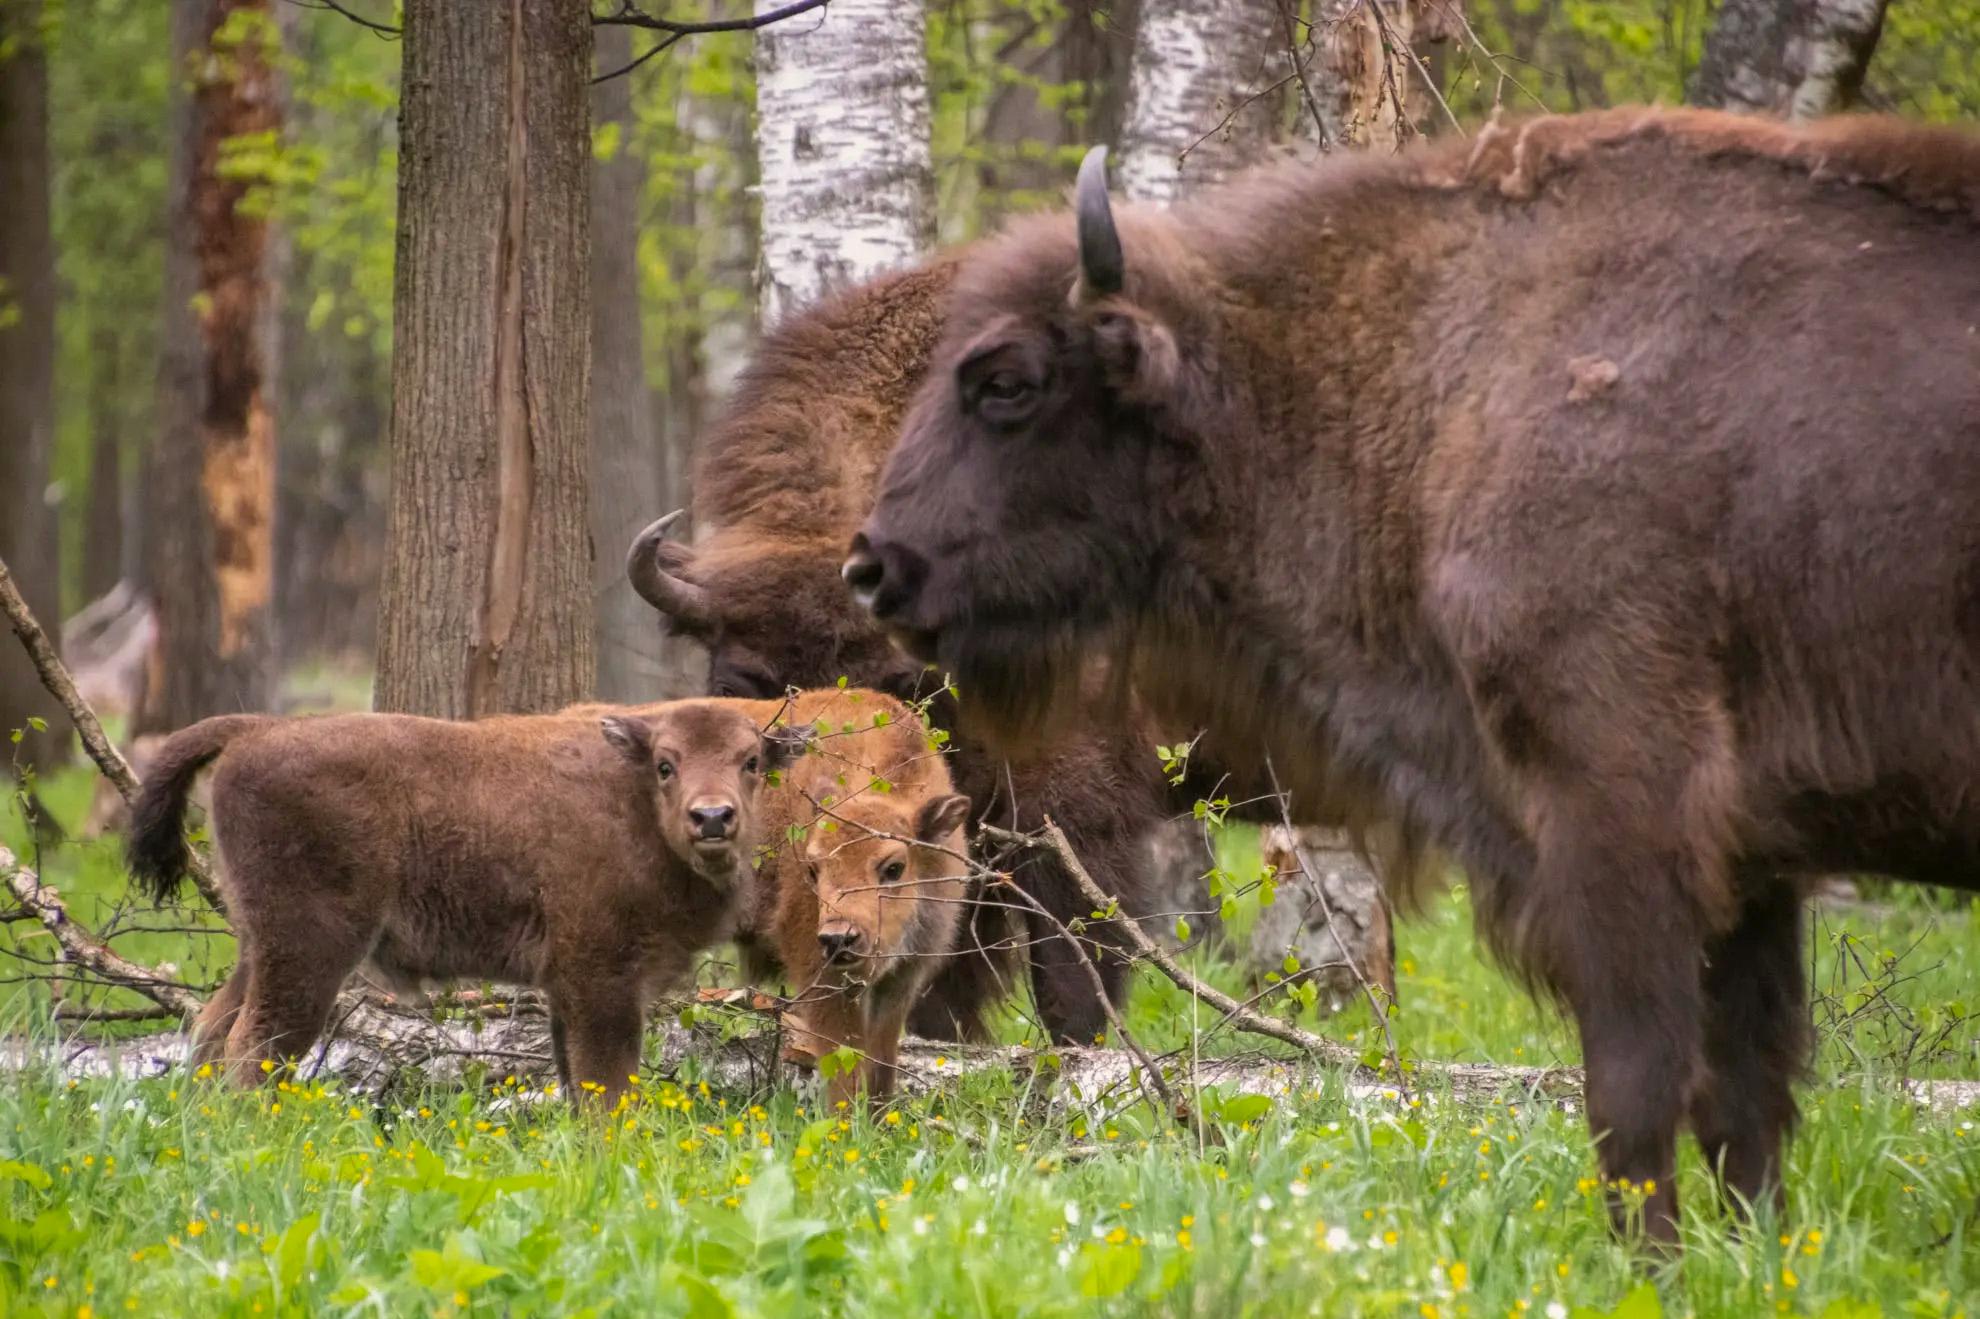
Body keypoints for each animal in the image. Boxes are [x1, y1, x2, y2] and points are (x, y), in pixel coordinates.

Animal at [129, 693, 803, 1101]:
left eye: (750, 761)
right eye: (666, 764)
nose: (712, 818)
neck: (631, 800)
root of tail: (258, 728)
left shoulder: (565, 990)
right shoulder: (601, 980)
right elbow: (605, 1087)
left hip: (258, 944)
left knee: (212, 1029)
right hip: (308, 950)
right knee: (254, 1046)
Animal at [728, 681, 974, 1101]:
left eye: (894, 867)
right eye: (813, 869)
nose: (838, 938)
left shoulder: (902, 979)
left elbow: (881, 1063)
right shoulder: (822, 976)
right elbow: (845, 1065)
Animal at [855, 110, 1980, 1235]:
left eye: (1006, 382)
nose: (872, 564)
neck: (1450, 373)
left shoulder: (1619, 810)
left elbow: (1636, 1083)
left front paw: (1649, 1257)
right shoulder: (1750, 865)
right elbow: (1747, 1097)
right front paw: (1754, 1250)